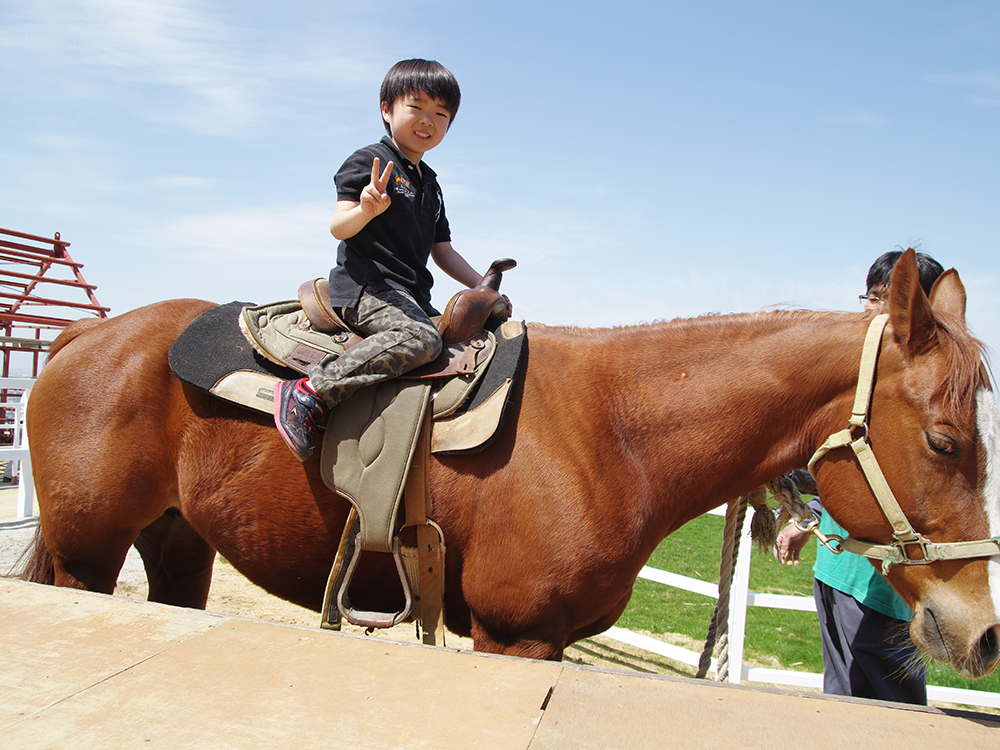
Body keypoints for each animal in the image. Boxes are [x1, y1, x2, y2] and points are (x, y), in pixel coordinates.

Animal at [17, 254, 1000, 680]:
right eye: (946, 443)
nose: (984, 632)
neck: (616, 431)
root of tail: (84, 337)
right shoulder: (510, 637)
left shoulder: (548, 642)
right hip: (86, 557)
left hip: (175, 545)